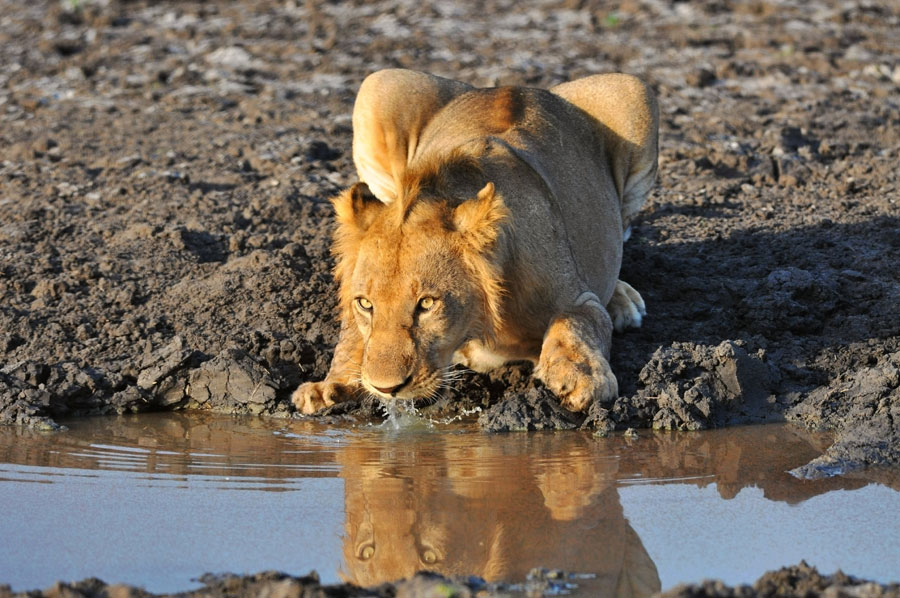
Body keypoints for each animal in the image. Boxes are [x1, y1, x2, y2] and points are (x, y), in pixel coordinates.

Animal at [292, 68, 658, 414]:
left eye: (427, 303)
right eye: (366, 304)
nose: (385, 388)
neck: (475, 325)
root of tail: (508, 86)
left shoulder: (579, 298)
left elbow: (576, 324)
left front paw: (579, 378)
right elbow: (350, 335)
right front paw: (329, 386)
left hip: (633, 91)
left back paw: (623, 301)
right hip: (380, 85)